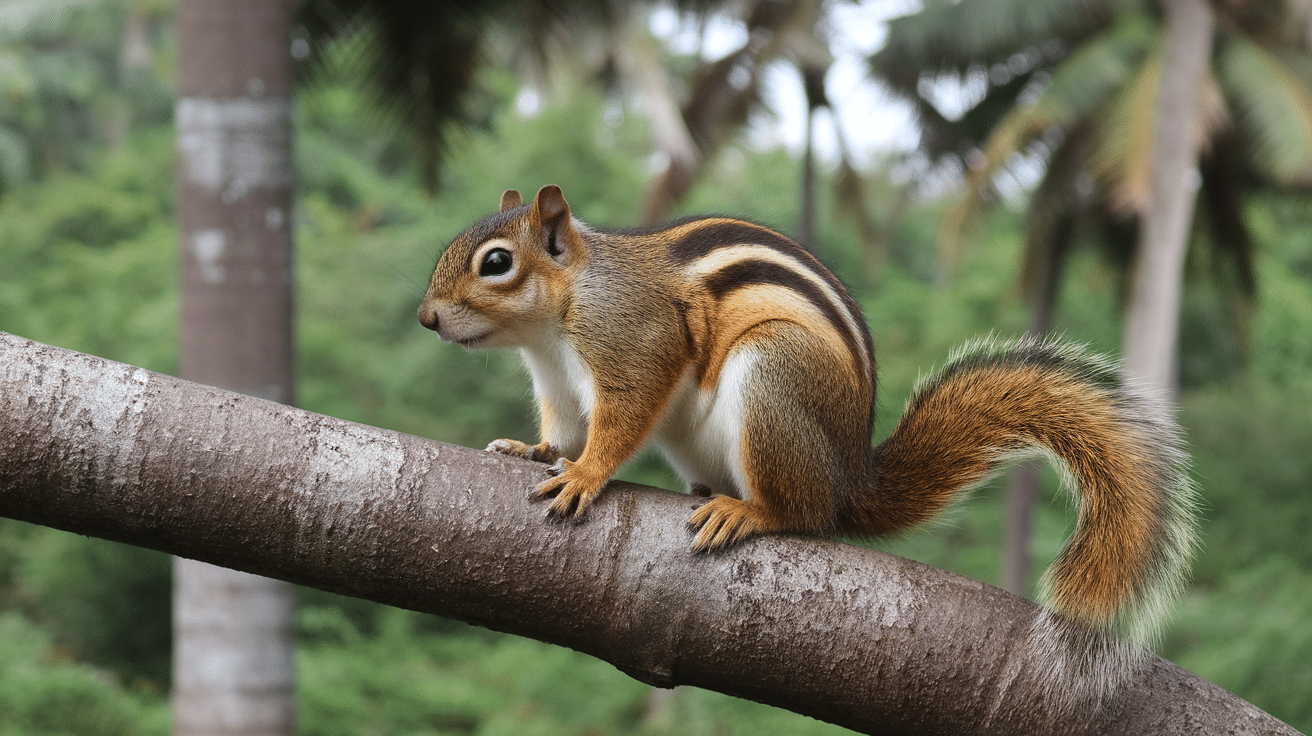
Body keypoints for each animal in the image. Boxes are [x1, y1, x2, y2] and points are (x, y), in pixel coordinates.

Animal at [419, 183, 1201, 692]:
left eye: (496, 262)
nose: (425, 318)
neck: (556, 322)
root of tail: (849, 479)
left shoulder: (637, 343)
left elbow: (620, 423)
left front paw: (585, 475)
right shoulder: (556, 385)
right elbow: (561, 429)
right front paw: (534, 451)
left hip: (775, 379)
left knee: (801, 510)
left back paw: (749, 511)